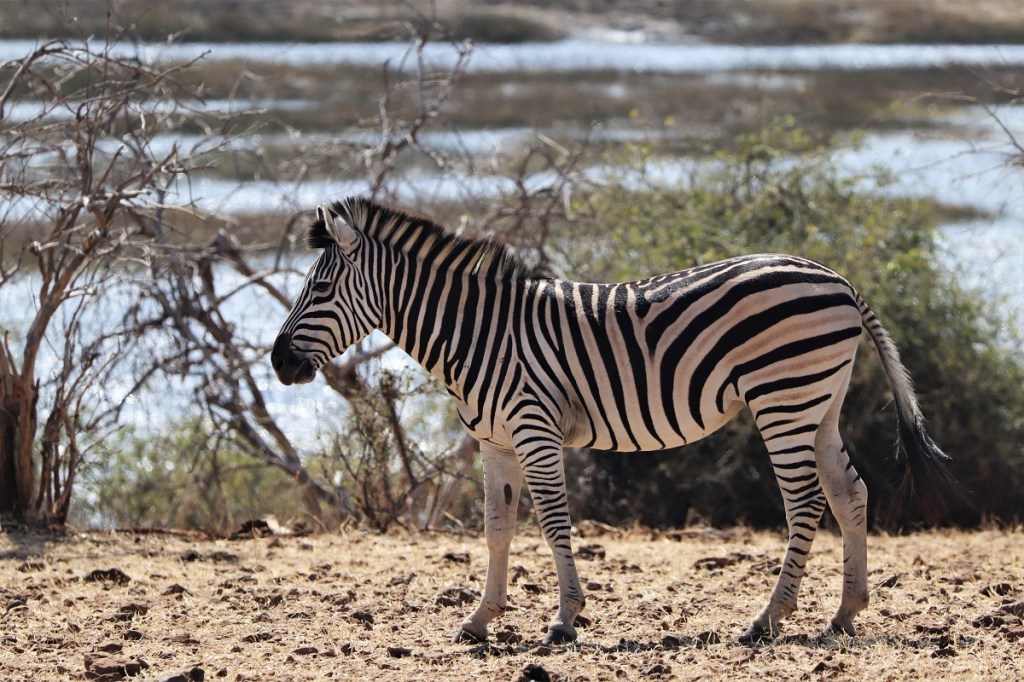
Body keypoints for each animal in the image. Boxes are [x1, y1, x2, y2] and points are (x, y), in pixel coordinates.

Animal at [271, 197, 956, 645]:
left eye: (321, 289)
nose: (277, 362)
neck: (479, 334)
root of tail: (836, 277)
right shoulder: (494, 442)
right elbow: (496, 529)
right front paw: (480, 619)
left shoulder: (534, 430)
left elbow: (552, 524)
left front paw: (564, 619)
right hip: (819, 404)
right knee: (849, 492)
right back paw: (844, 612)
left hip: (781, 397)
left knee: (807, 502)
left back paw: (767, 619)